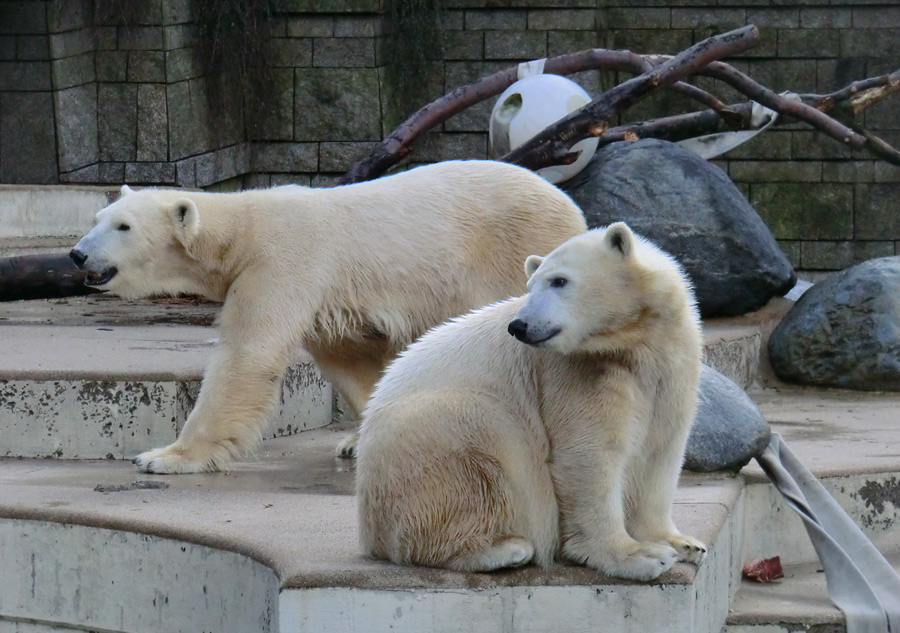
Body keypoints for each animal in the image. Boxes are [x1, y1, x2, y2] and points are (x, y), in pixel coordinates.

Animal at [72, 160, 592, 472]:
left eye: (123, 226)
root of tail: (569, 204)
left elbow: (247, 354)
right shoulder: (328, 295)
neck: (241, 230)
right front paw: (357, 441)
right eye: (96, 220)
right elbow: (350, 362)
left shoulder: (284, 261)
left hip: (516, 254)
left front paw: (166, 456)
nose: (77, 254)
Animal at [356, 223, 704, 584]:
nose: (519, 325)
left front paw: (682, 544)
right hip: (426, 445)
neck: (633, 343)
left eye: (559, 281)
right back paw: (504, 549)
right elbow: (589, 454)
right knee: (484, 448)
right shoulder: (572, 375)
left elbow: (661, 452)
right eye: (530, 286)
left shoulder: (670, 371)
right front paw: (639, 556)